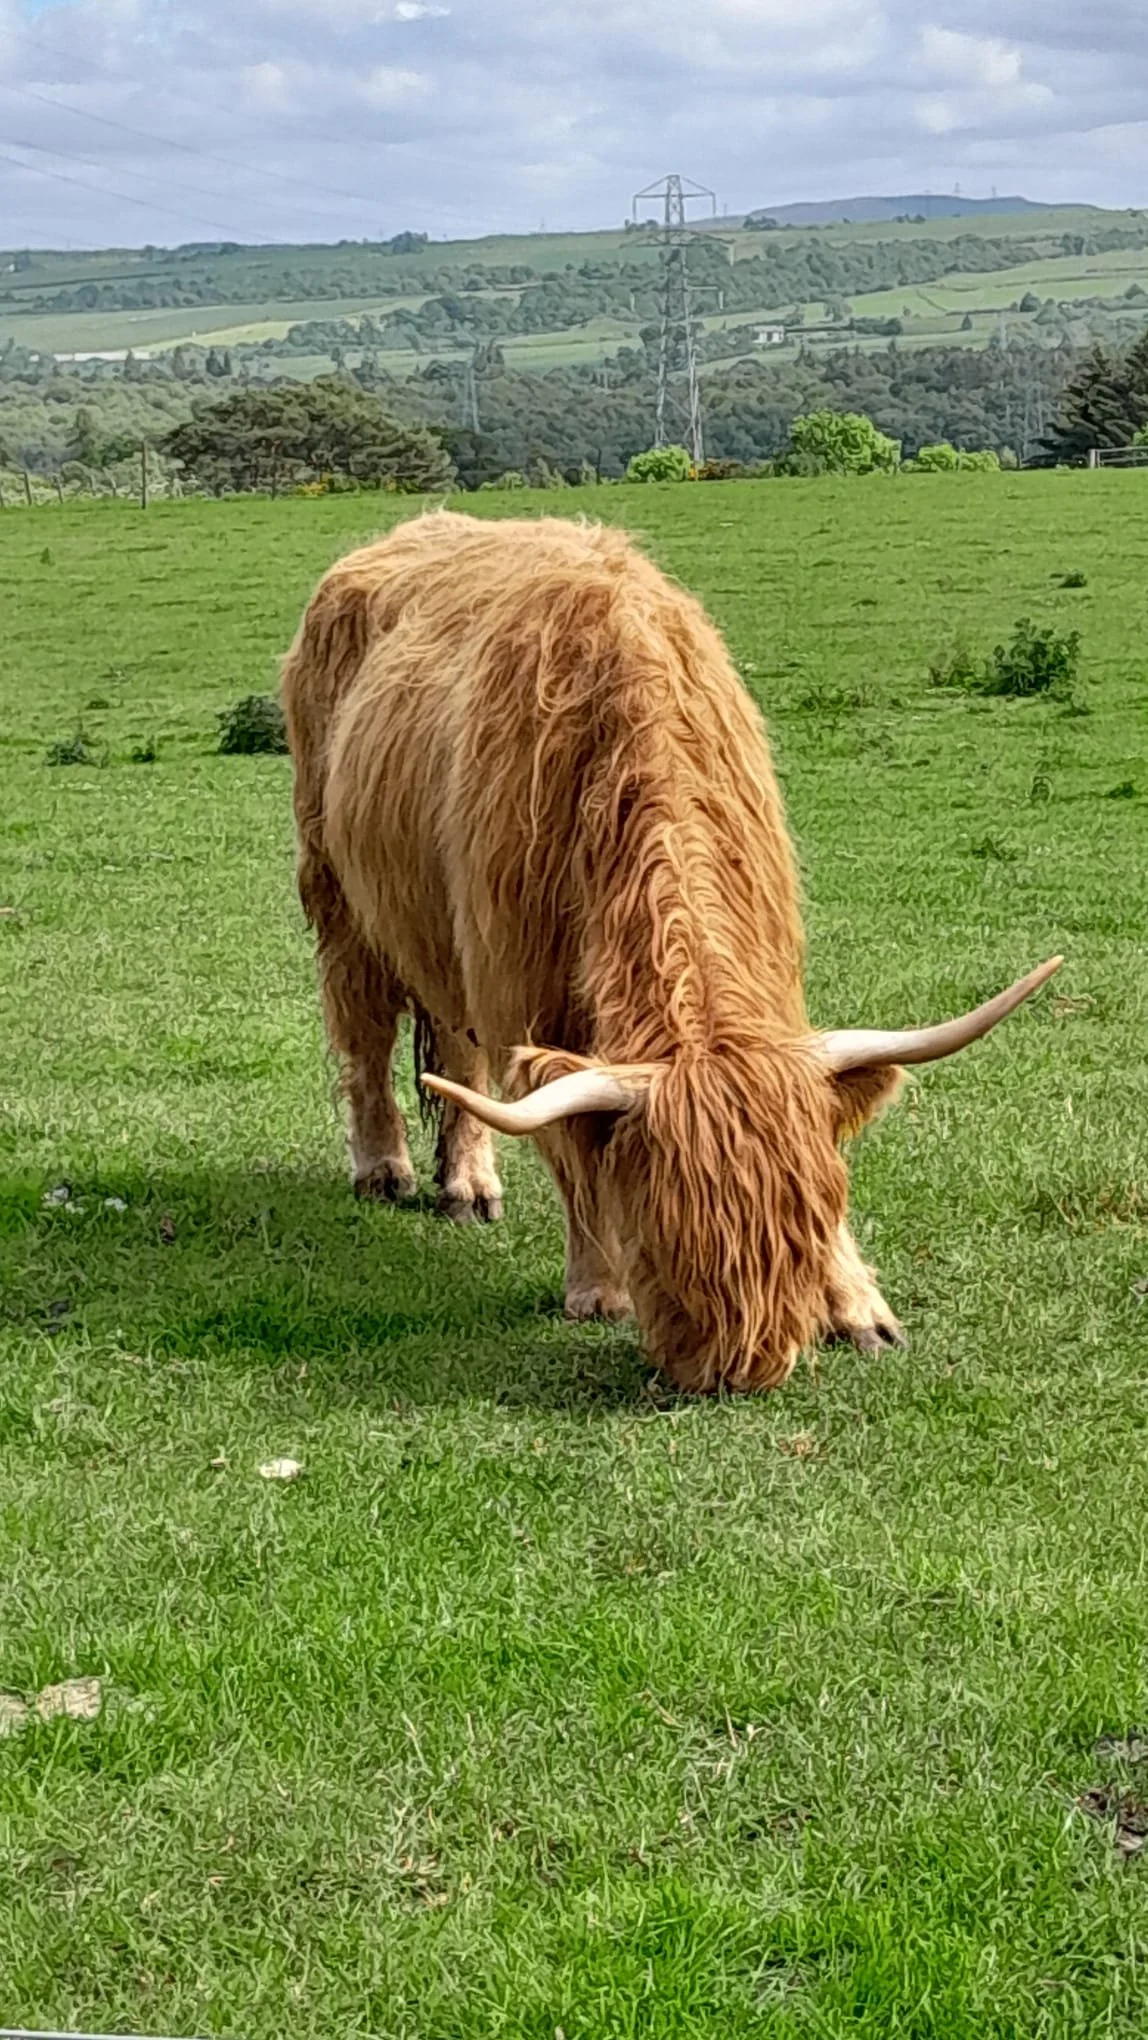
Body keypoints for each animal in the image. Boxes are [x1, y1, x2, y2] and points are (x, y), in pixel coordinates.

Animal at [282, 510, 1059, 1393]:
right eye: (656, 1236)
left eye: (805, 1220)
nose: (738, 1368)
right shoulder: (523, 985)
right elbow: (569, 1145)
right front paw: (596, 1288)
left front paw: (858, 1306)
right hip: (338, 891)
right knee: (366, 1034)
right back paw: (386, 1169)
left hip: (438, 930)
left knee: (452, 1046)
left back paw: (468, 1186)